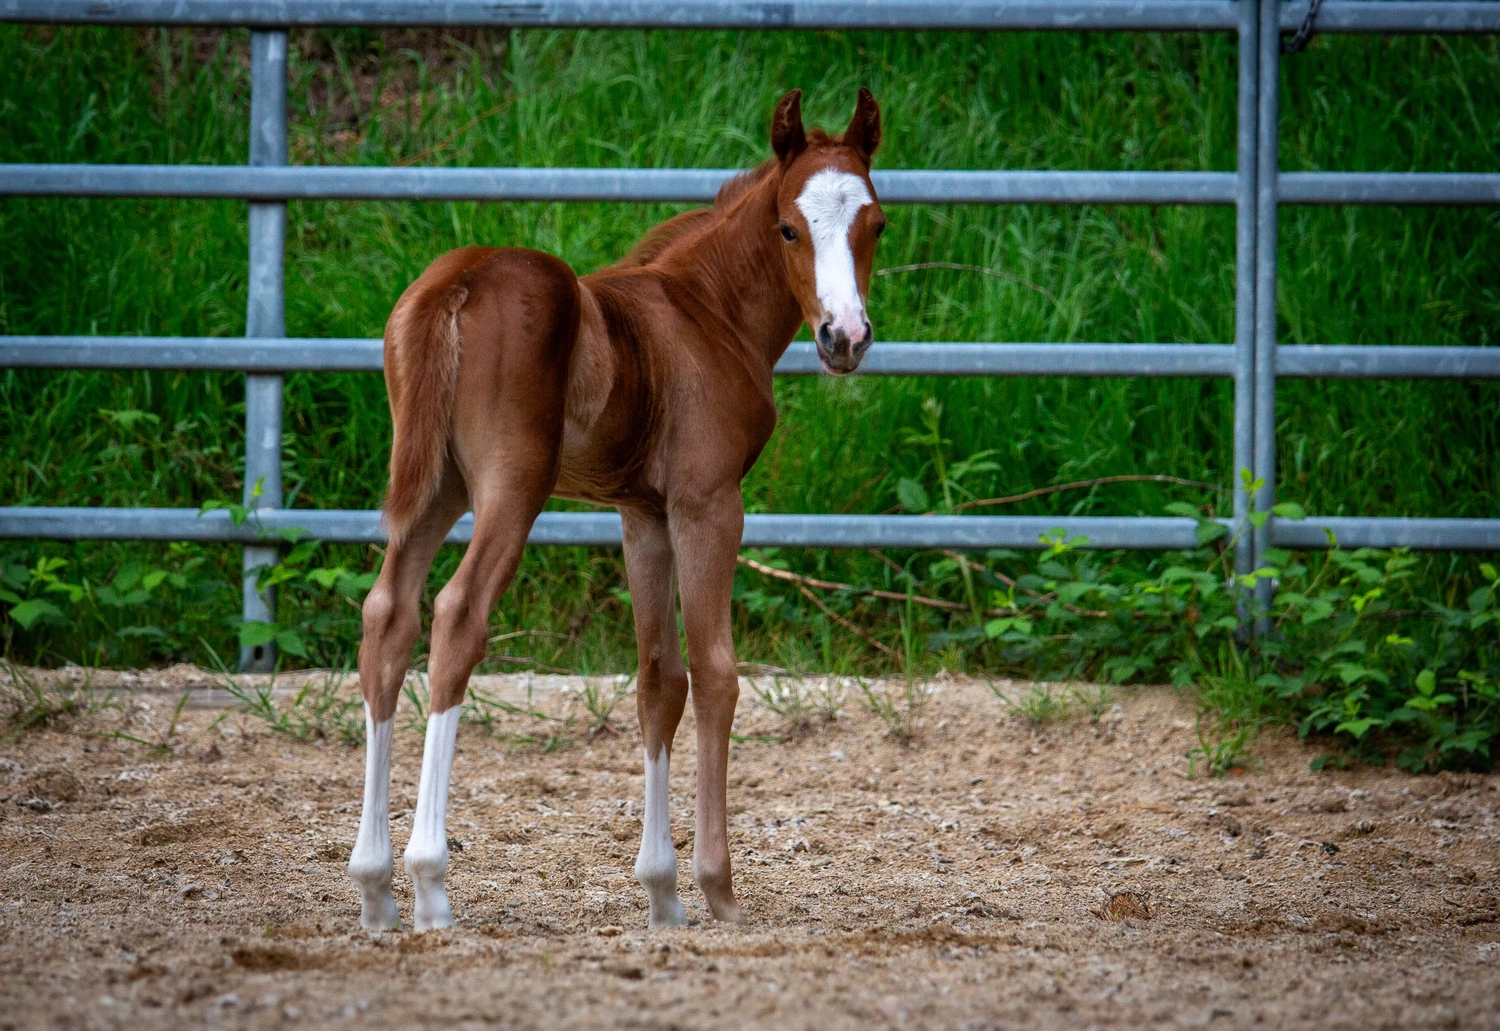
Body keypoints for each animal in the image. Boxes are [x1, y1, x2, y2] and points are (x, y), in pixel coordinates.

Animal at [347, 87, 887, 932]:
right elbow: (716, 671)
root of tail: (461, 277)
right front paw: (716, 885)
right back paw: (430, 880)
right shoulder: (708, 504)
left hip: (437, 485)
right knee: (458, 614)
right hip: (511, 487)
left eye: (876, 224)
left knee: (388, 615)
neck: (706, 313)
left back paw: (374, 885)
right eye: (788, 227)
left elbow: (658, 679)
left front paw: (662, 891)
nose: (845, 337)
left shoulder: (643, 515)